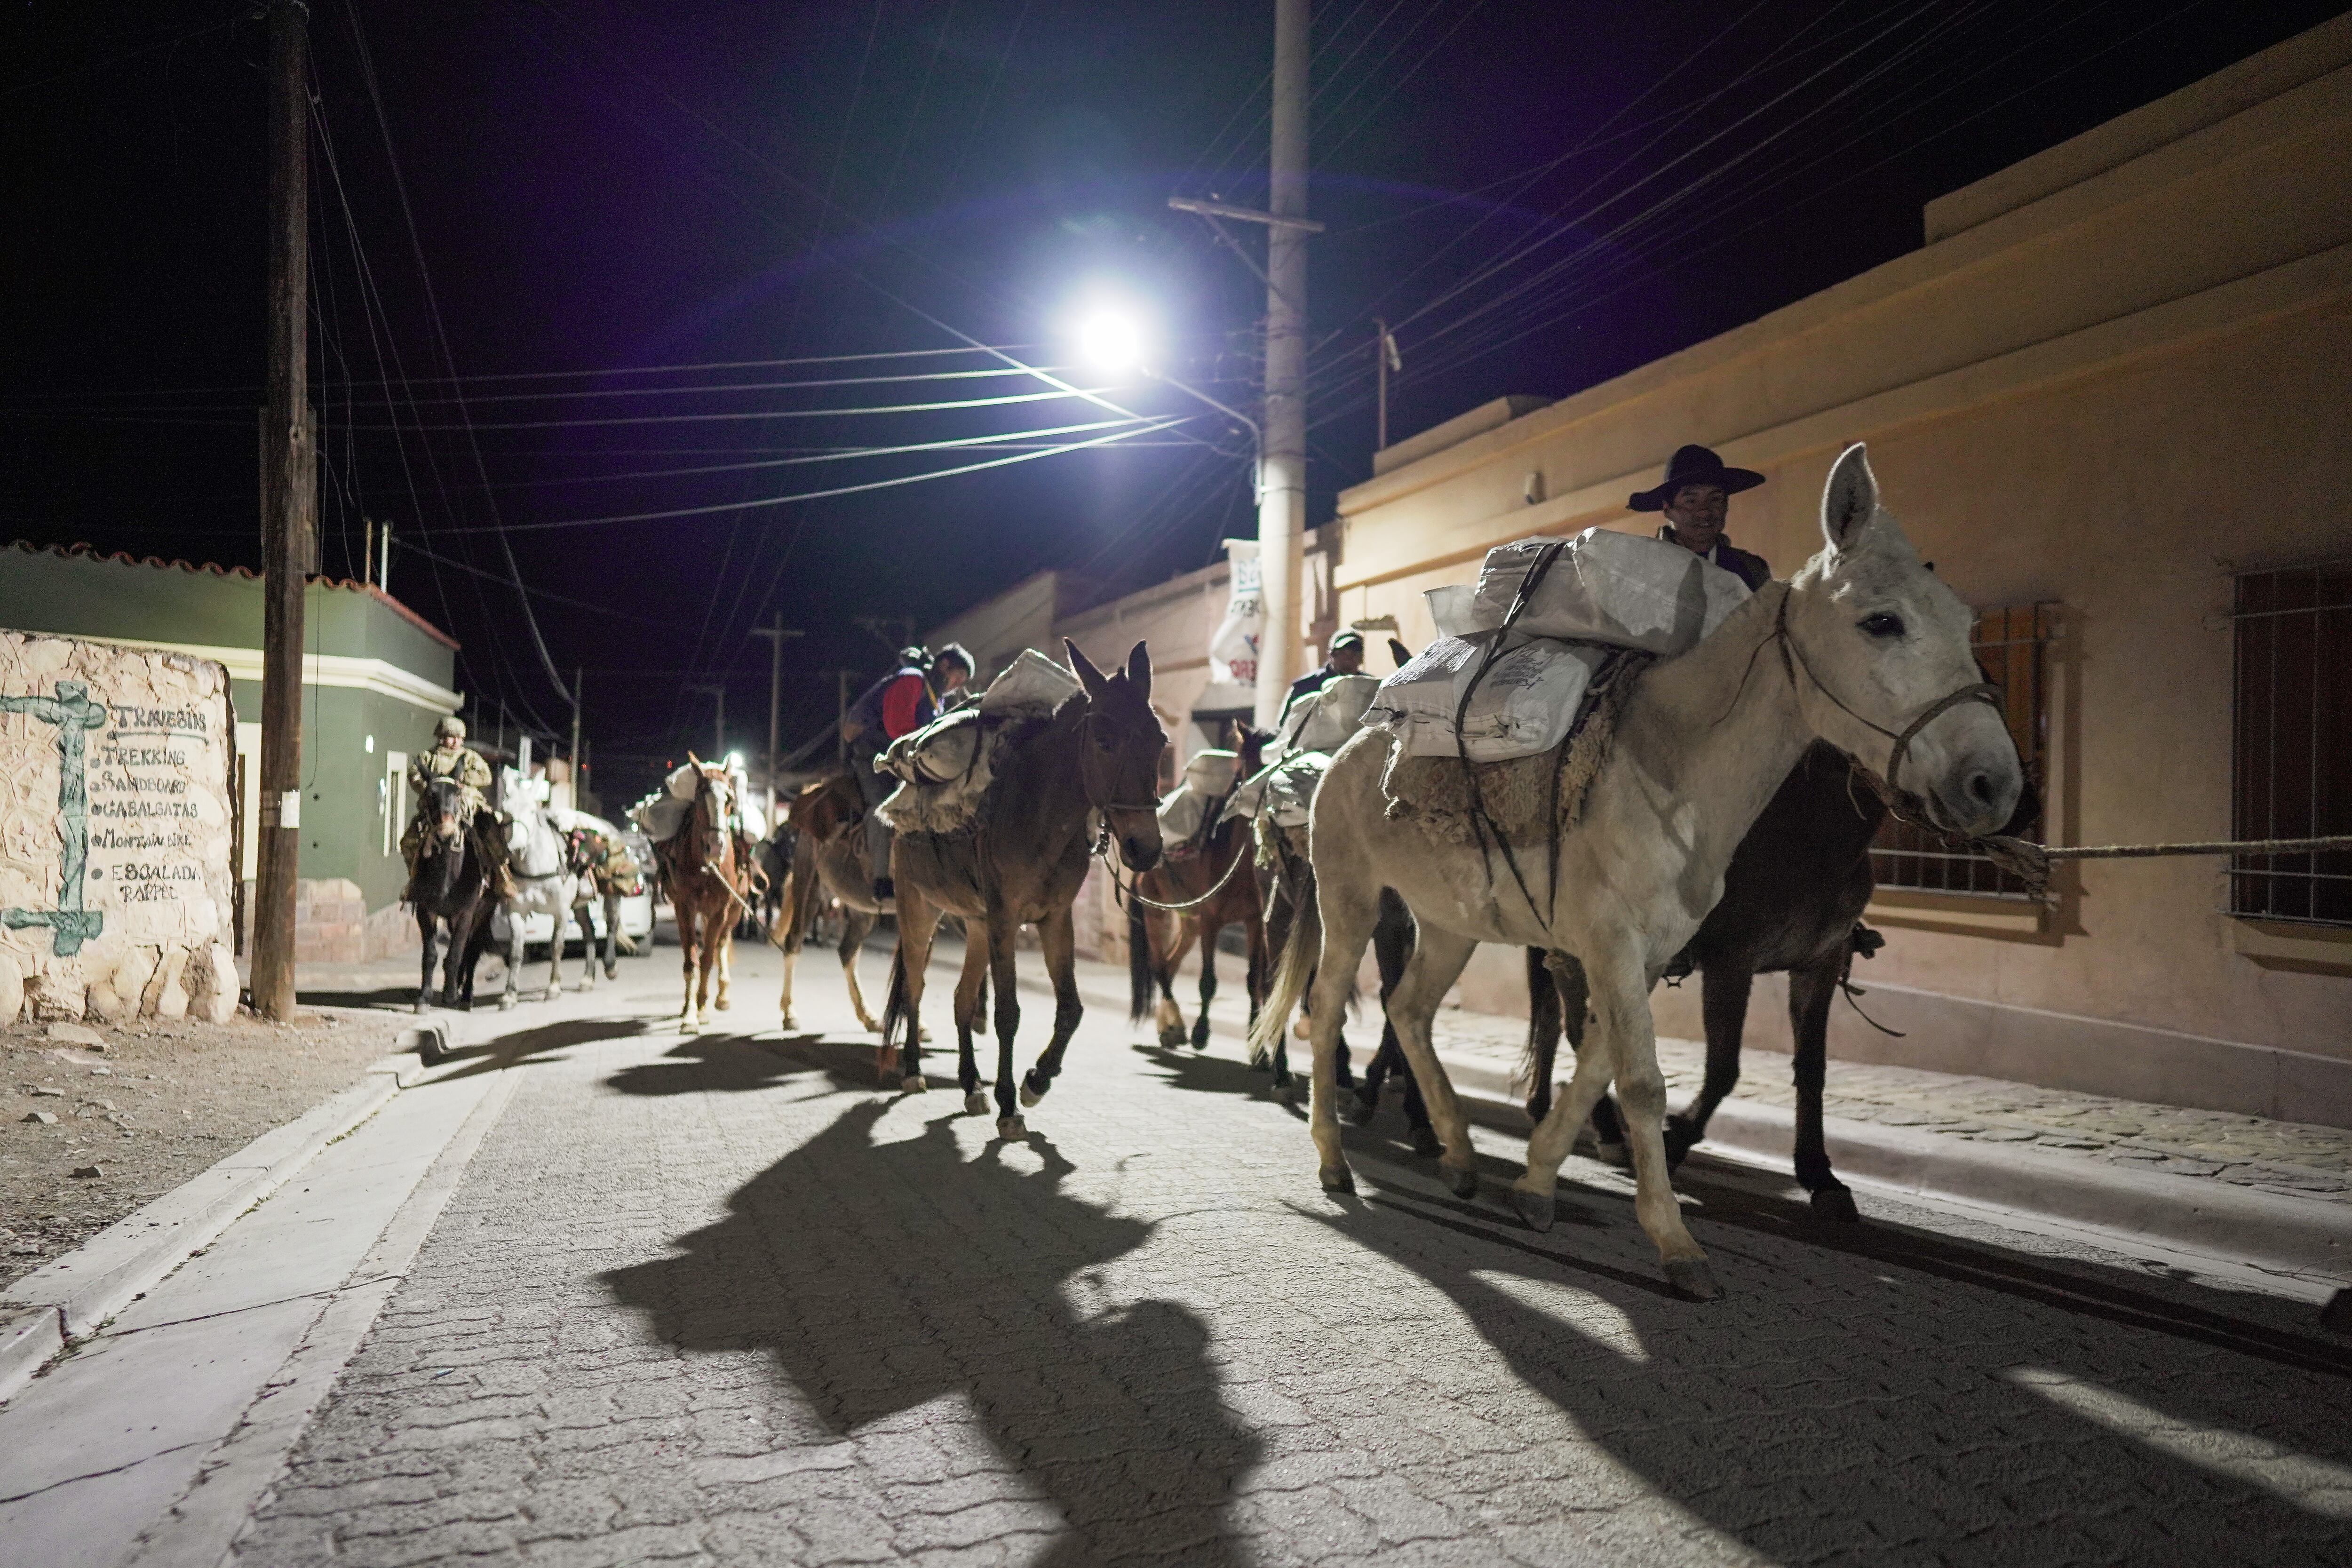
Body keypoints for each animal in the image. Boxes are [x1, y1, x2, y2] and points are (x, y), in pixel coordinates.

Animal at [654, 757, 743, 1034]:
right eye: (699, 797)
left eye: (729, 799)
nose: (715, 847)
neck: (706, 866)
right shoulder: (685, 908)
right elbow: (691, 962)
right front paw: (690, 1014)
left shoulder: (720, 911)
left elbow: (707, 960)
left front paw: (702, 1008)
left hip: (734, 912)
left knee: (723, 943)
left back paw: (722, 996)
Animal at [884, 639, 1167, 1142]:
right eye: (1104, 741)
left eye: (1161, 742)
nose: (1146, 848)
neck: (1041, 812)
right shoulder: (1005, 919)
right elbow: (1008, 1013)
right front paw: (1009, 1104)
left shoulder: (1053, 918)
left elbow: (1071, 1008)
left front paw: (1036, 1080)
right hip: (919, 913)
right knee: (915, 989)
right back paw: (915, 1070)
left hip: (977, 926)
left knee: (961, 999)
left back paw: (971, 1085)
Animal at [1134, 729, 1279, 1053]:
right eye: (1245, 765)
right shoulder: (1211, 922)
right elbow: (1208, 982)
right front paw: (1201, 1032)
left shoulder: (1253, 922)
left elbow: (1253, 978)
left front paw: (1254, 1040)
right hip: (1156, 913)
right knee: (1159, 964)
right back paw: (1175, 1025)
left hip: (1190, 923)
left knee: (1172, 962)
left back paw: (1167, 1025)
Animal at [1261, 444, 2032, 1297]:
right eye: (1882, 621)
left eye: (1965, 622)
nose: (1997, 787)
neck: (1670, 767)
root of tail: (1347, 750)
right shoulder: (1626, 946)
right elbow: (1643, 1081)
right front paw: (1676, 1240)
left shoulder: (1651, 951)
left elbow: (1606, 1062)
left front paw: (1538, 1183)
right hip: (1353, 900)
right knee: (1328, 1008)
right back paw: (1336, 1159)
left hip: (1449, 921)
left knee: (1409, 1010)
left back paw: (1458, 1155)